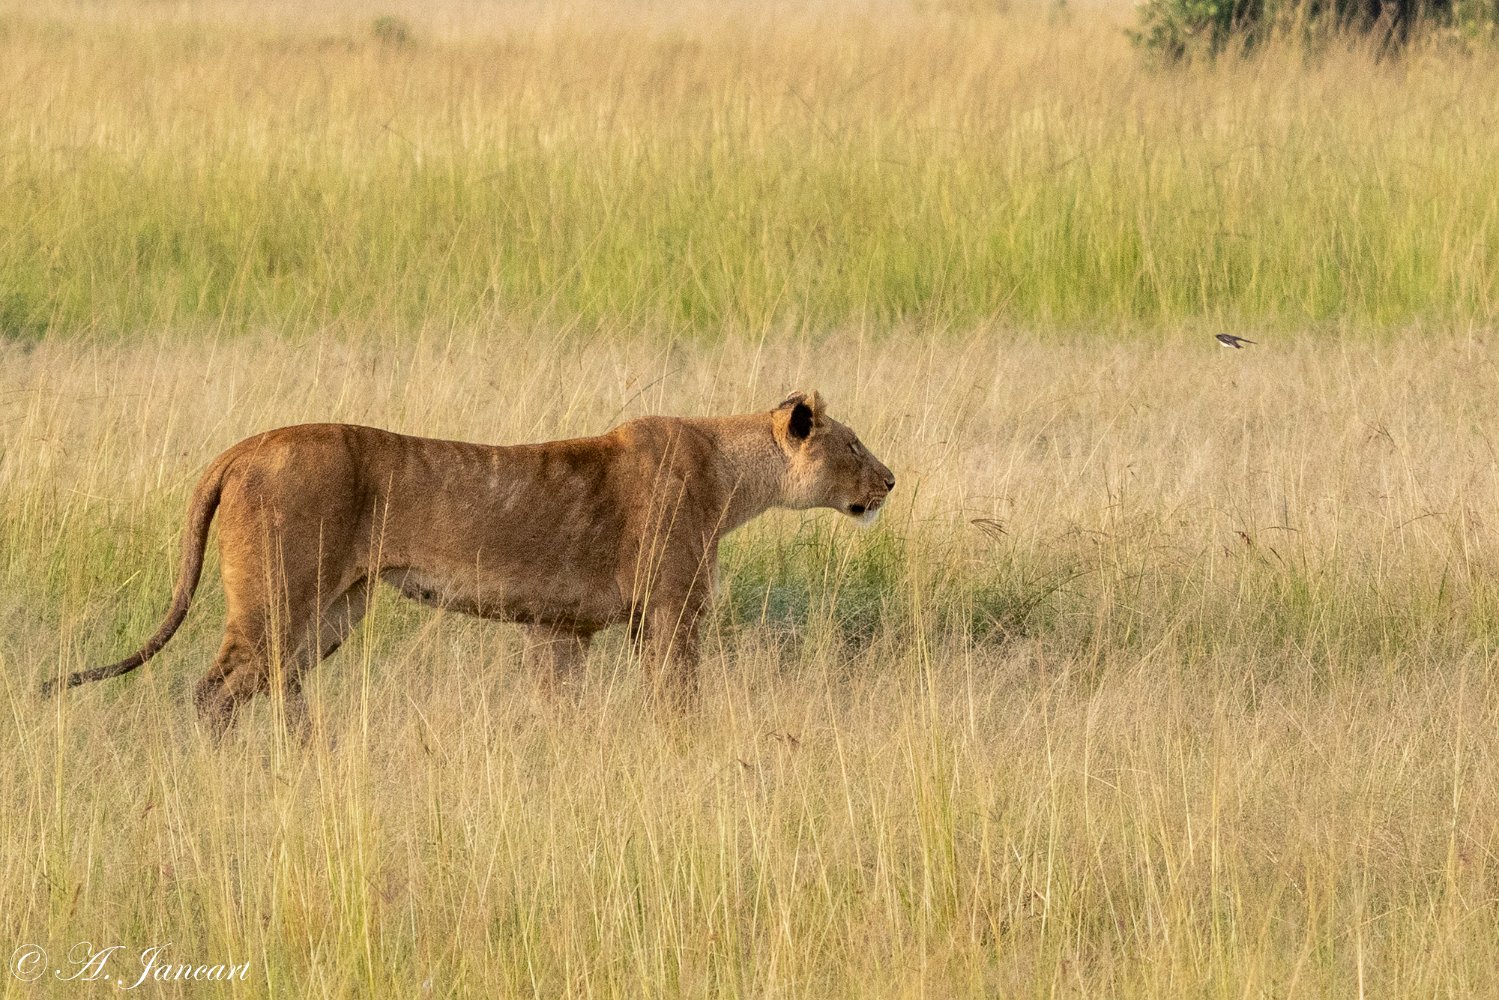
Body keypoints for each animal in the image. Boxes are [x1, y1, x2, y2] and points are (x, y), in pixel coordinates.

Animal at [41, 391, 894, 732]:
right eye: (852, 446)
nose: (889, 481)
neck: (729, 473)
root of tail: (242, 447)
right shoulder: (669, 613)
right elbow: (677, 701)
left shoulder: (559, 630)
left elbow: (562, 708)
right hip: (277, 598)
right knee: (214, 690)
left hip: (335, 612)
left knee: (273, 686)